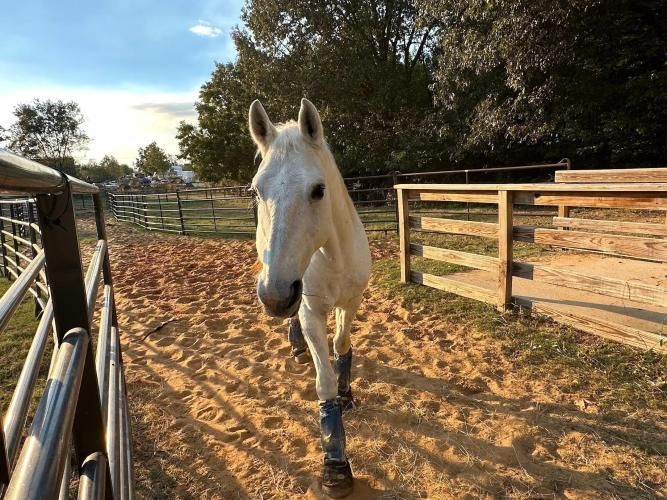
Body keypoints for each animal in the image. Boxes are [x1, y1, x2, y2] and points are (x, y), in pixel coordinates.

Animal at [248, 98, 372, 498]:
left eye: (318, 190)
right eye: (256, 191)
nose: (274, 298)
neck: (333, 256)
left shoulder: (351, 302)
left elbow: (342, 345)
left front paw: (347, 393)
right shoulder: (310, 310)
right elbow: (324, 382)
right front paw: (336, 466)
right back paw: (296, 345)